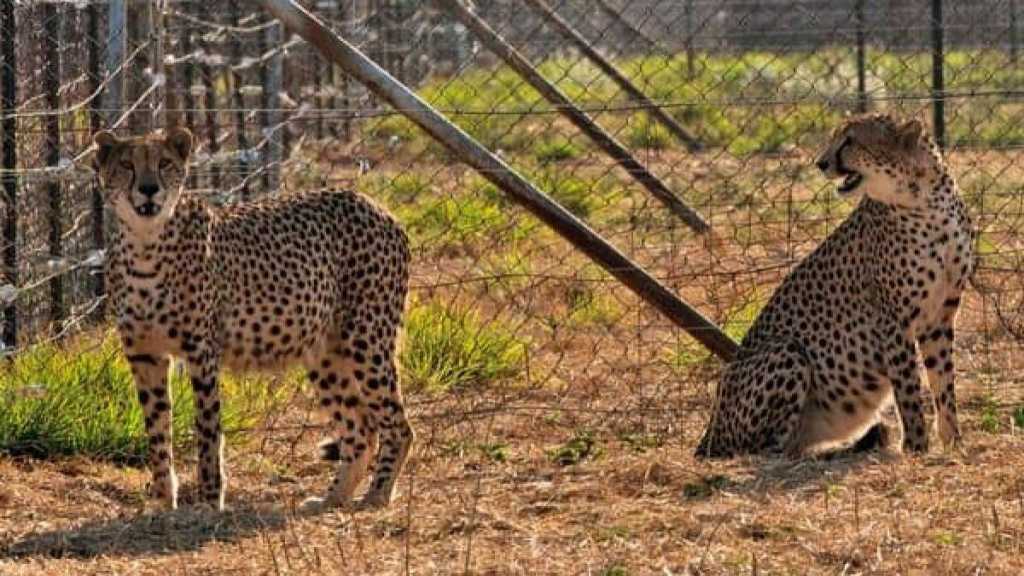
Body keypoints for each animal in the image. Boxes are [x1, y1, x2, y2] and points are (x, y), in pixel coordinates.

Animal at [94, 126, 413, 510]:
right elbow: (157, 429)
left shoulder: (201, 353)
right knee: (361, 429)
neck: (145, 244)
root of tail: (374, 204)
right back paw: (331, 499)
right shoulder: (144, 355)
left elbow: (207, 431)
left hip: (367, 339)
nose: (148, 188)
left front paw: (209, 501)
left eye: (165, 163)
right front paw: (162, 502)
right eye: (126, 164)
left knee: (398, 425)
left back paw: (377, 494)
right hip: (325, 352)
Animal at [696, 114, 974, 457]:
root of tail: (709, 431)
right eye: (835, 137)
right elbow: (908, 389)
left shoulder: (940, 316)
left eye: (850, 140)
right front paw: (915, 447)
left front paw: (954, 443)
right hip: (788, 351)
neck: (925, 199)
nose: (821, 163)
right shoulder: (893, 320)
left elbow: (943, 383)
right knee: (766, 448)